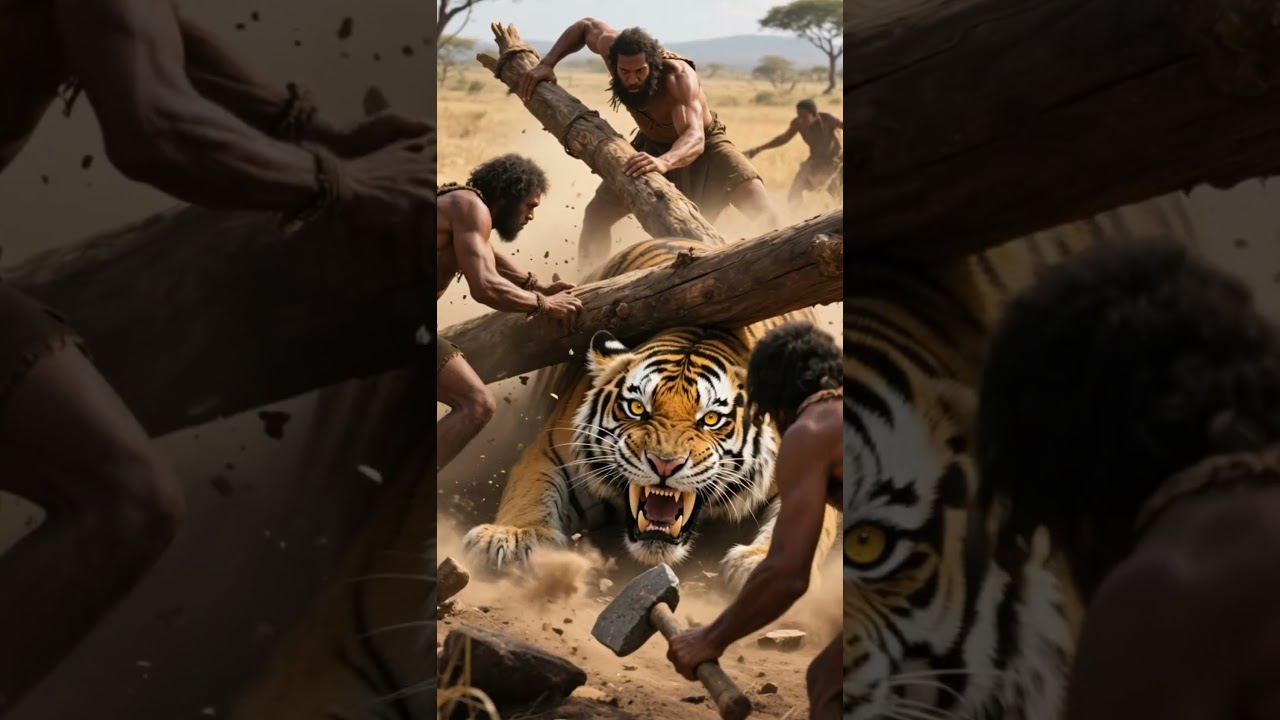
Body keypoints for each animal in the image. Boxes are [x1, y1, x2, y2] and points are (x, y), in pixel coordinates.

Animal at [463, 237, 842, 590]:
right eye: (637, 408)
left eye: (711, 419)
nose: (664, 465)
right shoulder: (552, 451)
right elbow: (530, 491)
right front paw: (512, 538)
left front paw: (762, 562)